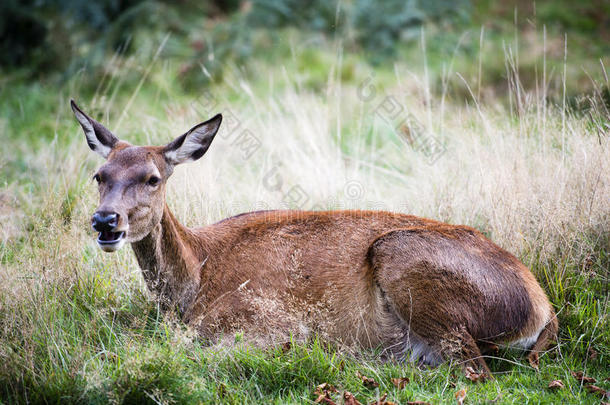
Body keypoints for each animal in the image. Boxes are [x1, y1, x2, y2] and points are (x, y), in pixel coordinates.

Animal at [71, 99, 556, 378]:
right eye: (99, 175)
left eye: (152, 178)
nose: (106, 221)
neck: (196, 279)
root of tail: (541, 308)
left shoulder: (272, 321)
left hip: (403, 257)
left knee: (476, 372)